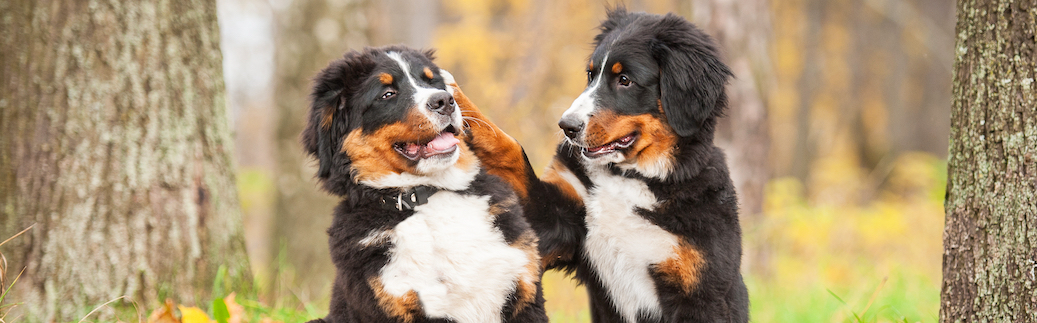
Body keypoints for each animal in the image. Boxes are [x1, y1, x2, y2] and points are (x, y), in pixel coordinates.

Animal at [454, 7, 746, 323]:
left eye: (625, 80)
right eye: (591, 75)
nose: (567, 126)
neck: (632, 177)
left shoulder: (700, 291)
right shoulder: (557, 219)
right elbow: (509, 150)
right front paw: (448, 92)